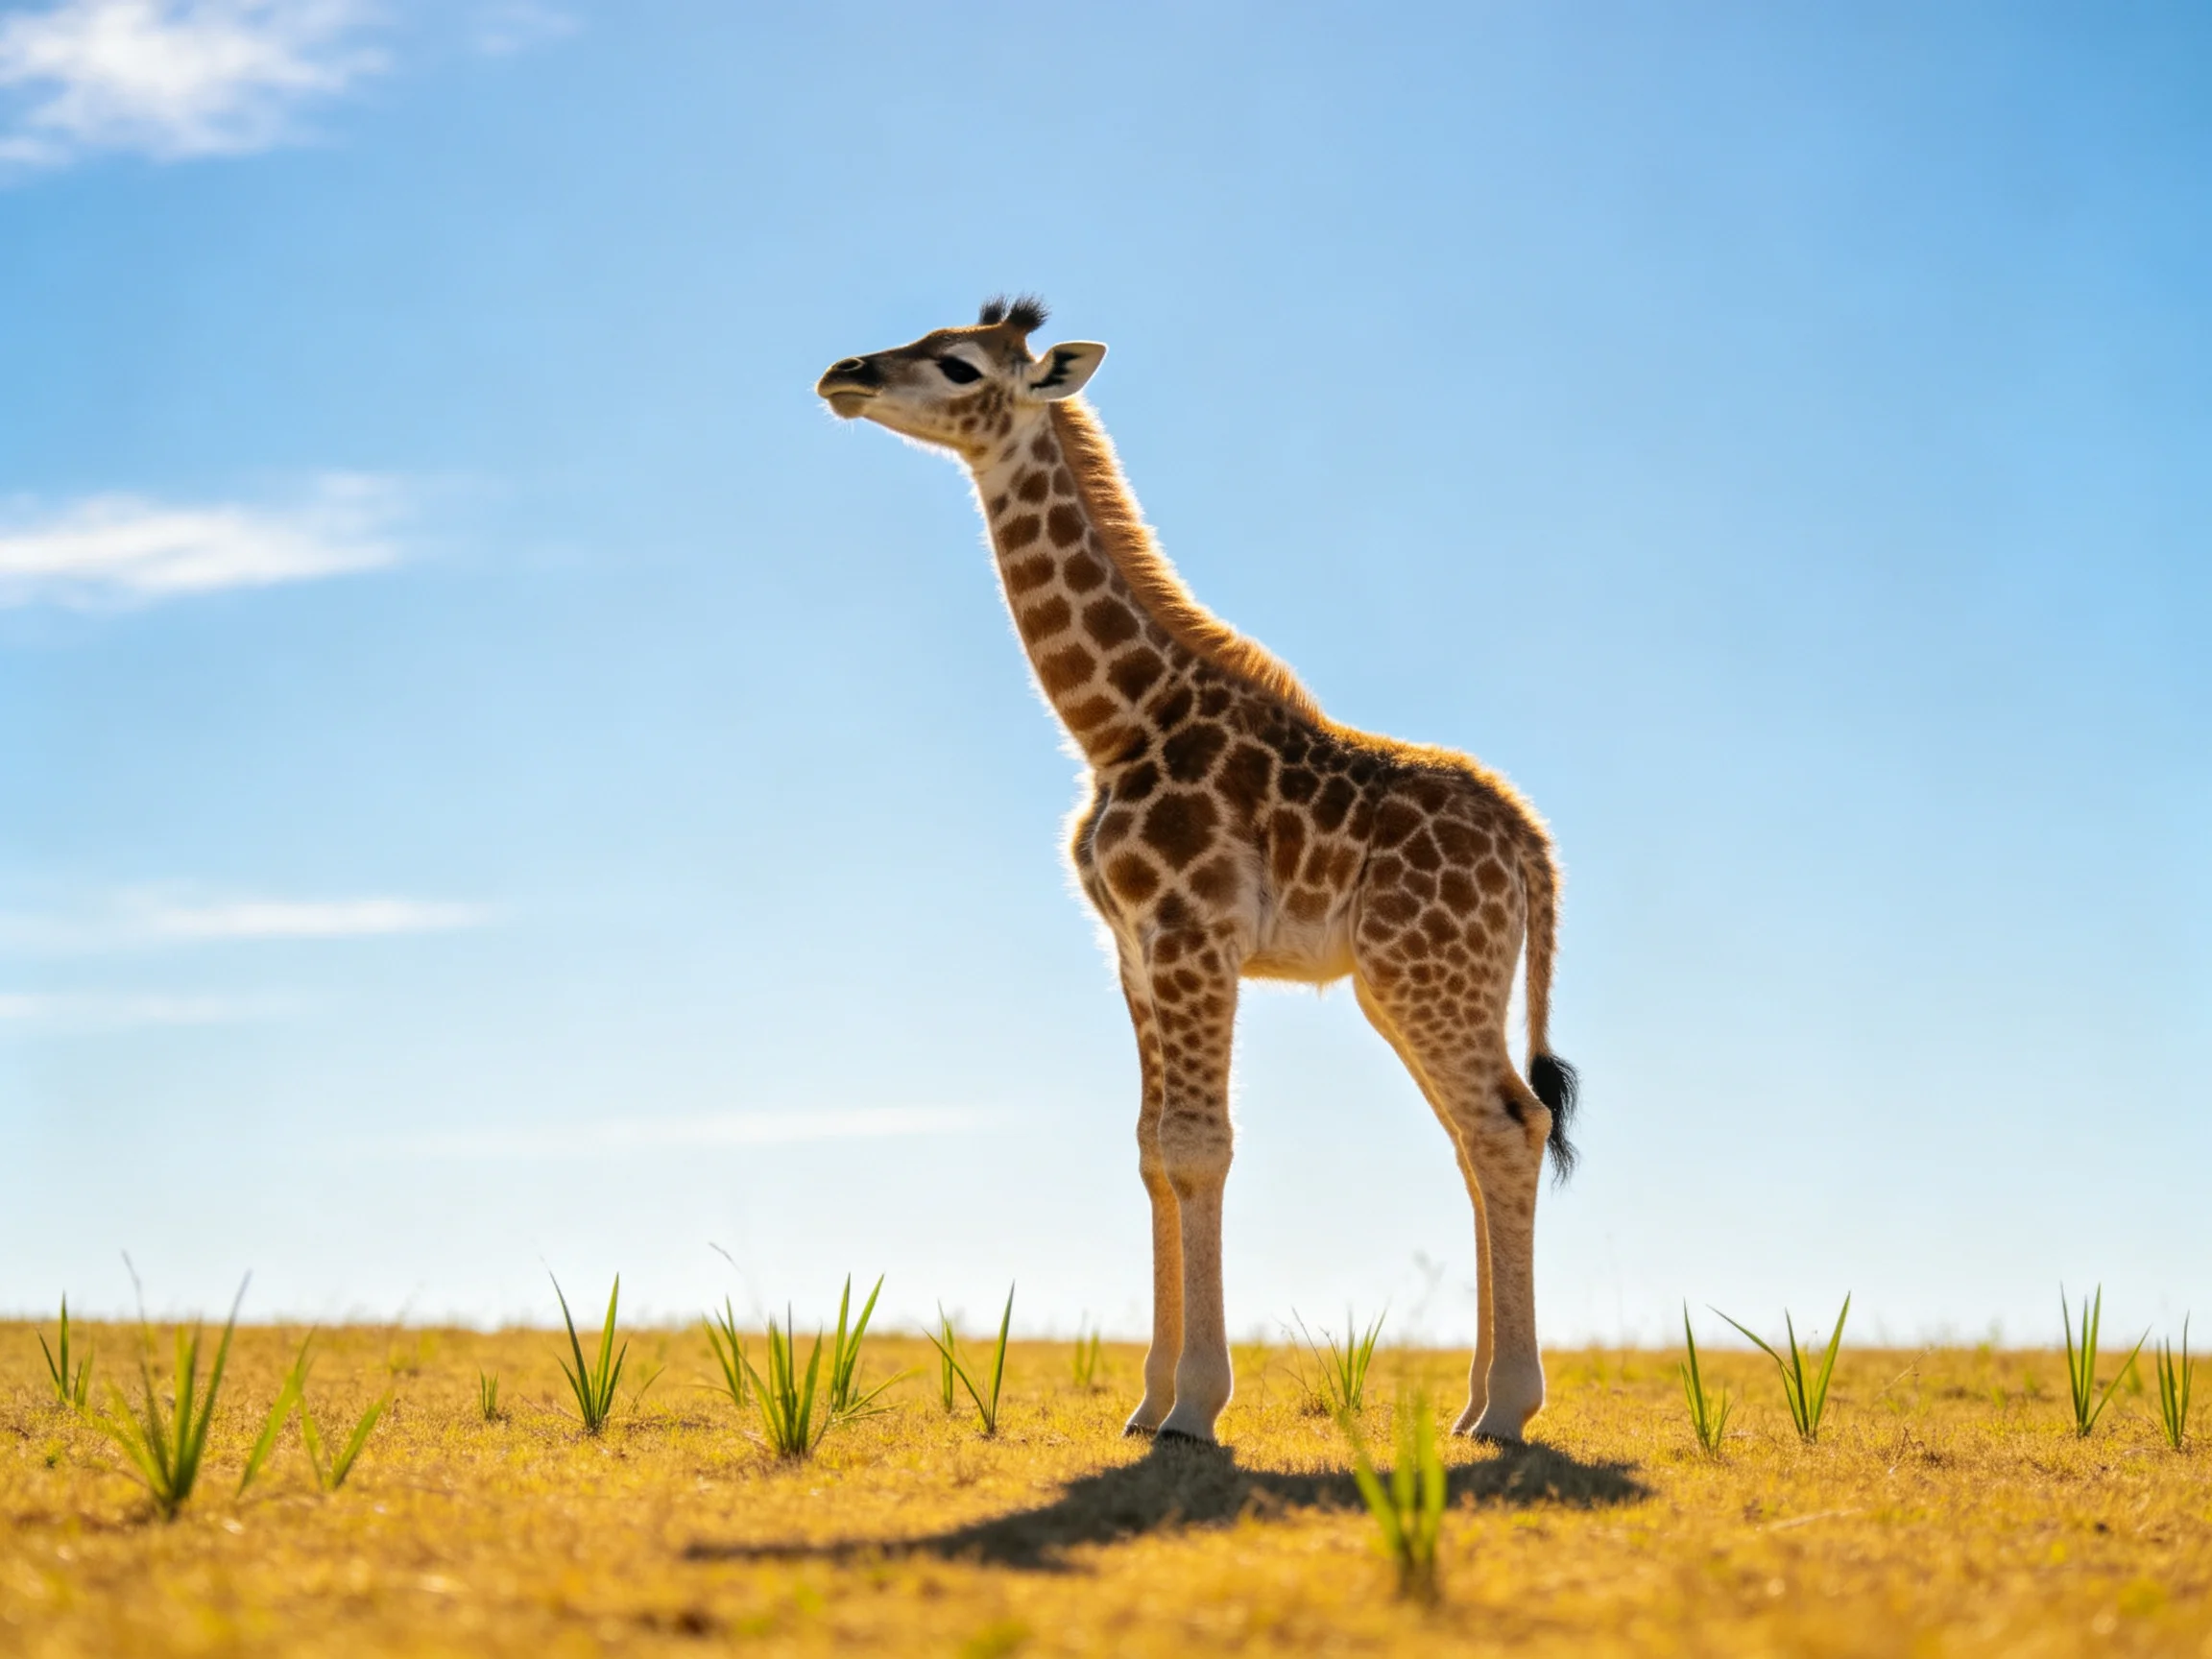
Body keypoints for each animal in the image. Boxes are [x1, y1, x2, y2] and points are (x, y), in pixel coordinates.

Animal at [816, 297, 1579, 1445]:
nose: (844, 374)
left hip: (1426, 977)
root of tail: (1533, 847)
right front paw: (1147, 1401)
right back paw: (1475, 1406)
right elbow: (1148, 1152)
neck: (1115, 723)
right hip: (1431, 984)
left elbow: (1197, 1146)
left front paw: (1194, 1408)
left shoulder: (1193, 934)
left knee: (1503, 1126)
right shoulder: (1133, 949)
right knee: (1487, 1132)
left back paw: (1505, 1412)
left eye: (957, 366)